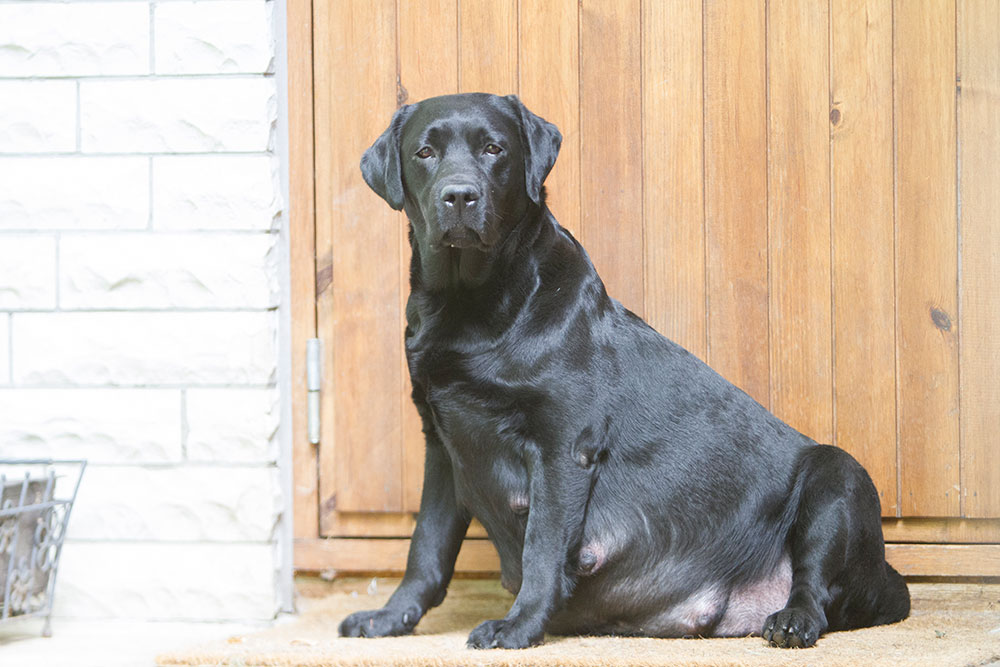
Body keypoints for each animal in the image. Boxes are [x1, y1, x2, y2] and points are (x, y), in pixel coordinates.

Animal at [338, 93, 910, 649]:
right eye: (424, 153)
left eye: (494, 149)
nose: (459, 196)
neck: (473, 309)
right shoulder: (442, 447)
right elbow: (425, 549)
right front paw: (389, 618)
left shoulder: (563, 445)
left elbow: (542, 546)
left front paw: (518, 627)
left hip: (838, 477)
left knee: (815, 587)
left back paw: (792, 620)